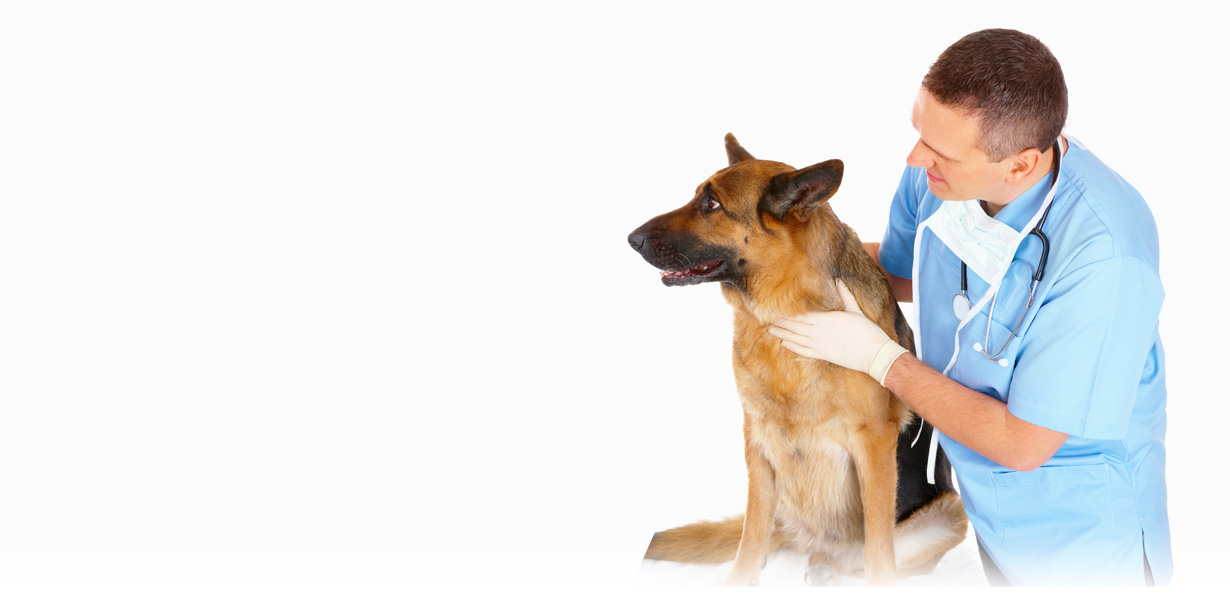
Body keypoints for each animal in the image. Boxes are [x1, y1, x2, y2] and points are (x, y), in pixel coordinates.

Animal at [627, 134, 967, 586]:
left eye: (712, 204)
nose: (631, 238)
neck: (782, 310)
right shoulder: (757, 441)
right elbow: (751, 534)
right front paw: (739, 581)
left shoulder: (874, 444)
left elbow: (879, 548)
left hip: (951, 514)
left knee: (866, 557)